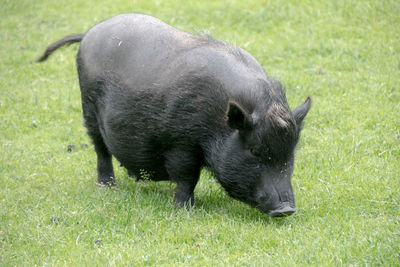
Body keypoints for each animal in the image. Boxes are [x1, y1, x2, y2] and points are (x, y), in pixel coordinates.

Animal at [37, 13, 310, 218]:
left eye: (290, 153)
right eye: (254, 151)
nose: (286, 209)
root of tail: (88, 34)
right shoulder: (179, 142)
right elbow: (187, 176)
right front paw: (183, 210)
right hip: (88, 109)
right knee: (101, 150)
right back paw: (108, 188)